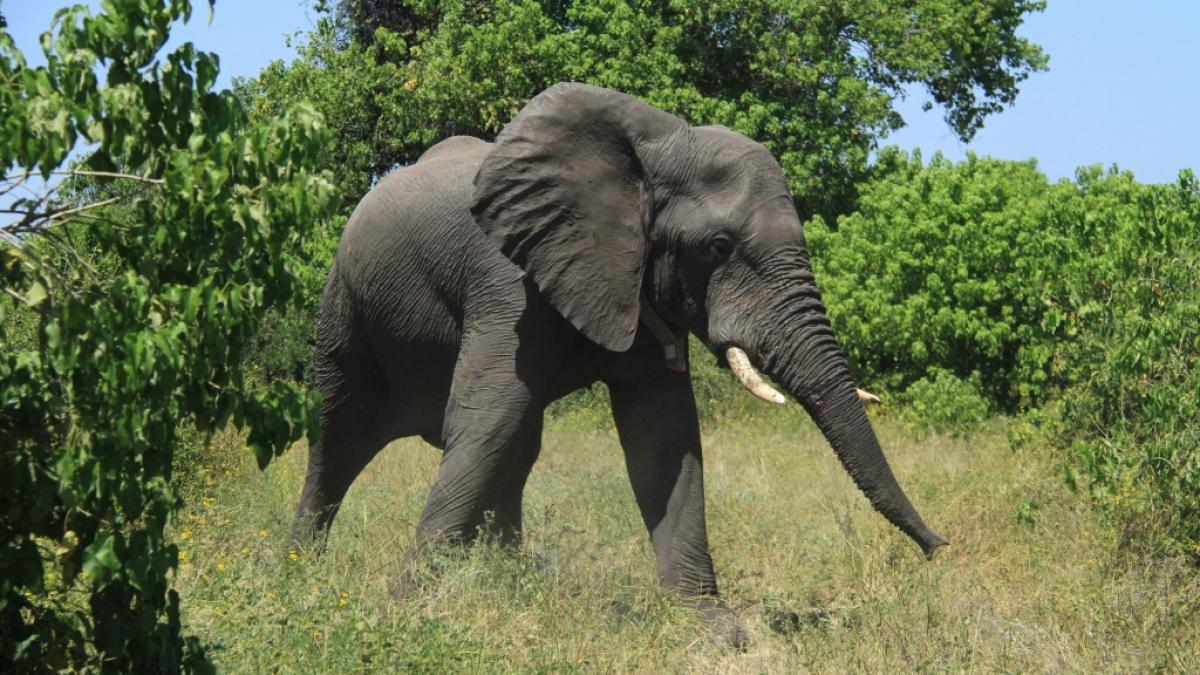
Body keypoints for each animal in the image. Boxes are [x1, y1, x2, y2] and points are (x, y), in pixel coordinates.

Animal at [289, 82, 946, 646]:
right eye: (718, 248)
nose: (940, 550)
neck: (653, 153)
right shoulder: (507, 281)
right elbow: (483, 420)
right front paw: (406, 609)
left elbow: (664, 439)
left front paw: (714, 629)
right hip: (344, 304)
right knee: (341, 432)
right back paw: (298, 569)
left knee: (518, 446)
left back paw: (508, 580)